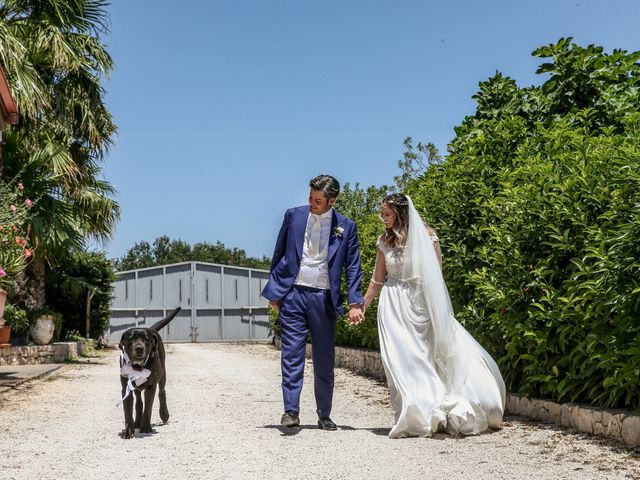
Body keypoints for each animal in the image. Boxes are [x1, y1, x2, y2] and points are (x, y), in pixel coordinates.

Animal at [119, 308, 180, 438]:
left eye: (146, 340)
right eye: (131, 339)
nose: (139, 348)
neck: (138, 367)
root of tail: (152, 329)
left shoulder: (151, 386)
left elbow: (148, 407)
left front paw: (146, 428)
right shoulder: (126, 387)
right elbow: (128, 410)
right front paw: (128, 431)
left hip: (162, 374)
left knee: (162, 391)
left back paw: (164, 414)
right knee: (138, 402)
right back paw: (137, 422)